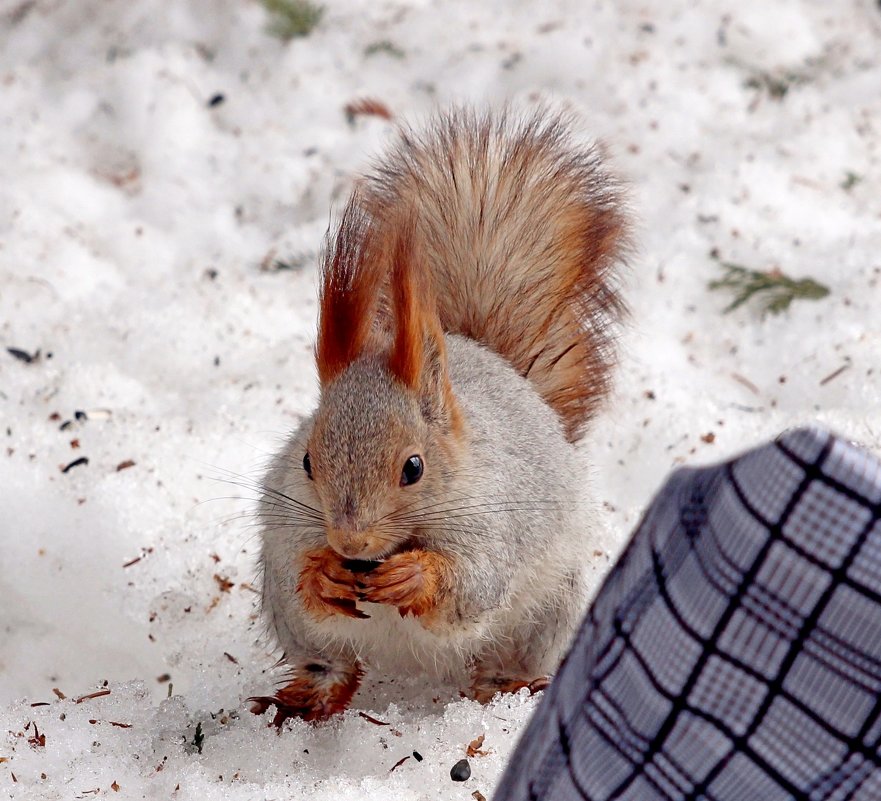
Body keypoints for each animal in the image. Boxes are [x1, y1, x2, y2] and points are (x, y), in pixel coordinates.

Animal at [251, 108, 628, 724]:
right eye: (307, 461)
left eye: (414, 468)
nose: (351, 542)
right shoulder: (287, 523)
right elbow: (297, 570)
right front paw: (324, 574)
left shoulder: (495, 522)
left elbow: (473, 583)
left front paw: (415, 575)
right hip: (296, 626)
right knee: (331, 665)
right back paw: (302, 703)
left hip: (545, 612)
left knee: (502, 661)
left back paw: (508, 690)